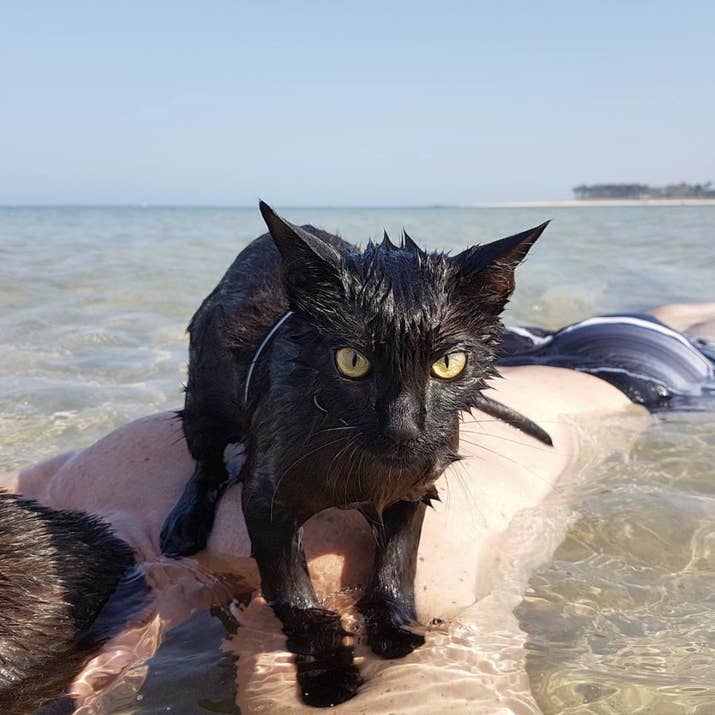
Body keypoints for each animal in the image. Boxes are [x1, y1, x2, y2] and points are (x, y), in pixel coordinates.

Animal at [162, 204, 552, 708]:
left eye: (448, 365)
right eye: (352, 361)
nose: (404, 428)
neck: (366, 474)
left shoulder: (415, 490)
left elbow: (396, 567)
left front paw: (395, 629)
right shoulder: (266, 499)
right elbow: (296, 599)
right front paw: (328, 675)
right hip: (205, 398)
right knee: (205, 461)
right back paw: (184, 525)